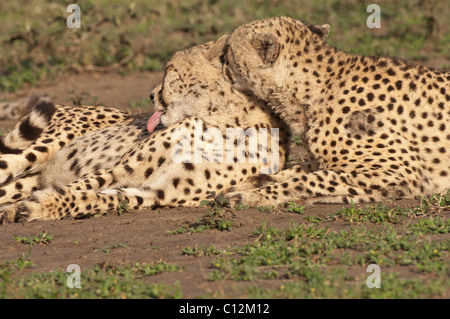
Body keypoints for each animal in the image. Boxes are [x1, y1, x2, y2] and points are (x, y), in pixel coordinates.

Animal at [0, 36, 288, 224]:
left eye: (169, 70)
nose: (151, 95)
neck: (225, 122)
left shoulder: (156, 193)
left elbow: (99, 198)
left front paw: (42, 206)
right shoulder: (122, 169)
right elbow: (82, 185)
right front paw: (26, 207)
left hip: (26, 179)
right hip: (34, 150)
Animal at [222, 17, 450, 206]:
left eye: (229, 51)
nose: (221, 61)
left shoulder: (397, 173)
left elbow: (307, 180)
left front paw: (251, 195)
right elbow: (295, 171)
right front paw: (250, 183)